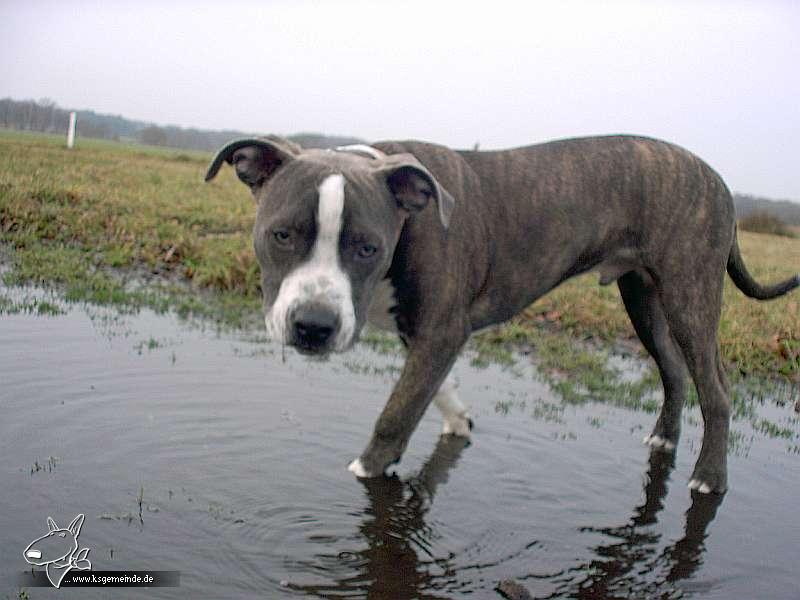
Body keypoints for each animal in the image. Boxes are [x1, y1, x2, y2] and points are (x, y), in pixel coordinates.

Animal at [203, 135, 796, 492]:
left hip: (689, 294)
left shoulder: (443, 329)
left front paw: (364, 470)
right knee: (673, 371)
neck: (410, 214)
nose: (313, 326)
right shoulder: (428, 334)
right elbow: (433, 389)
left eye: (367, 247)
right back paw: (664, 439)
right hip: (643, 296)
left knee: (716, 388)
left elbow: (396, 413)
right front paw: (459, 423)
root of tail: (718, 179)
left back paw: (709, 477)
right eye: (281, 235)